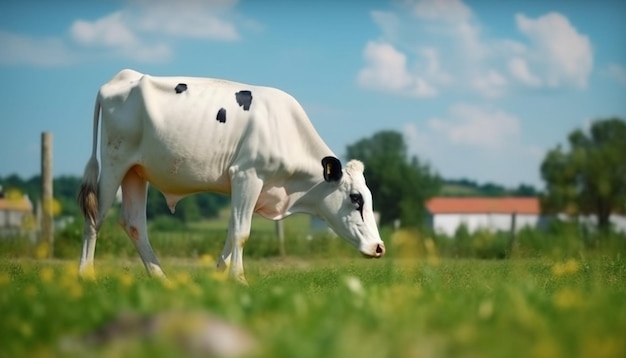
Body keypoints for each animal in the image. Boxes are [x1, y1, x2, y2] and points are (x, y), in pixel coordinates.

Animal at [75, 68, 382, 284]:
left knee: (134, 222)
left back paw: (160, 277)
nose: (379, 248)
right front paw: (239, 278)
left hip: (136, 172)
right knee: (96, 216)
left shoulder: (248, 186)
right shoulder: (247, 175)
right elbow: (241, 233)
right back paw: (86, 274)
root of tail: (123, 76)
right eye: (355, 198)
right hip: (114, 161)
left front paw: (220, 275)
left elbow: (231, 230)